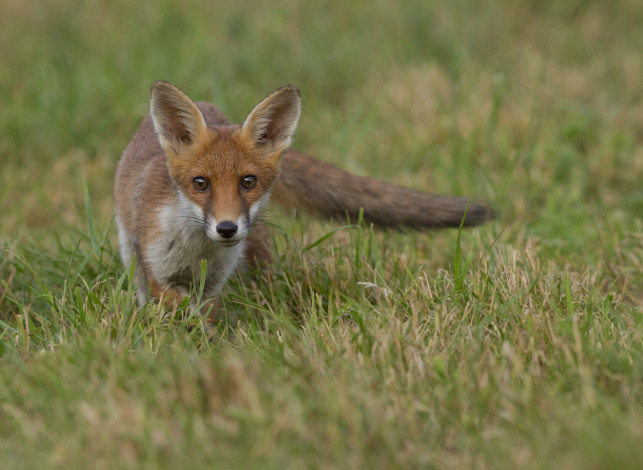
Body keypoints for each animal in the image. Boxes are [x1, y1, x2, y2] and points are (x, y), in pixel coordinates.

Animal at [114, 81, 494, 320]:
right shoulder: (160, 272)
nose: (227, 228)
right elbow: (177, 309)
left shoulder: (212, 286)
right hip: (130, 252)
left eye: (248, 182)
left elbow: (202, 316)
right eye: (200, 184)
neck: (196, 252)